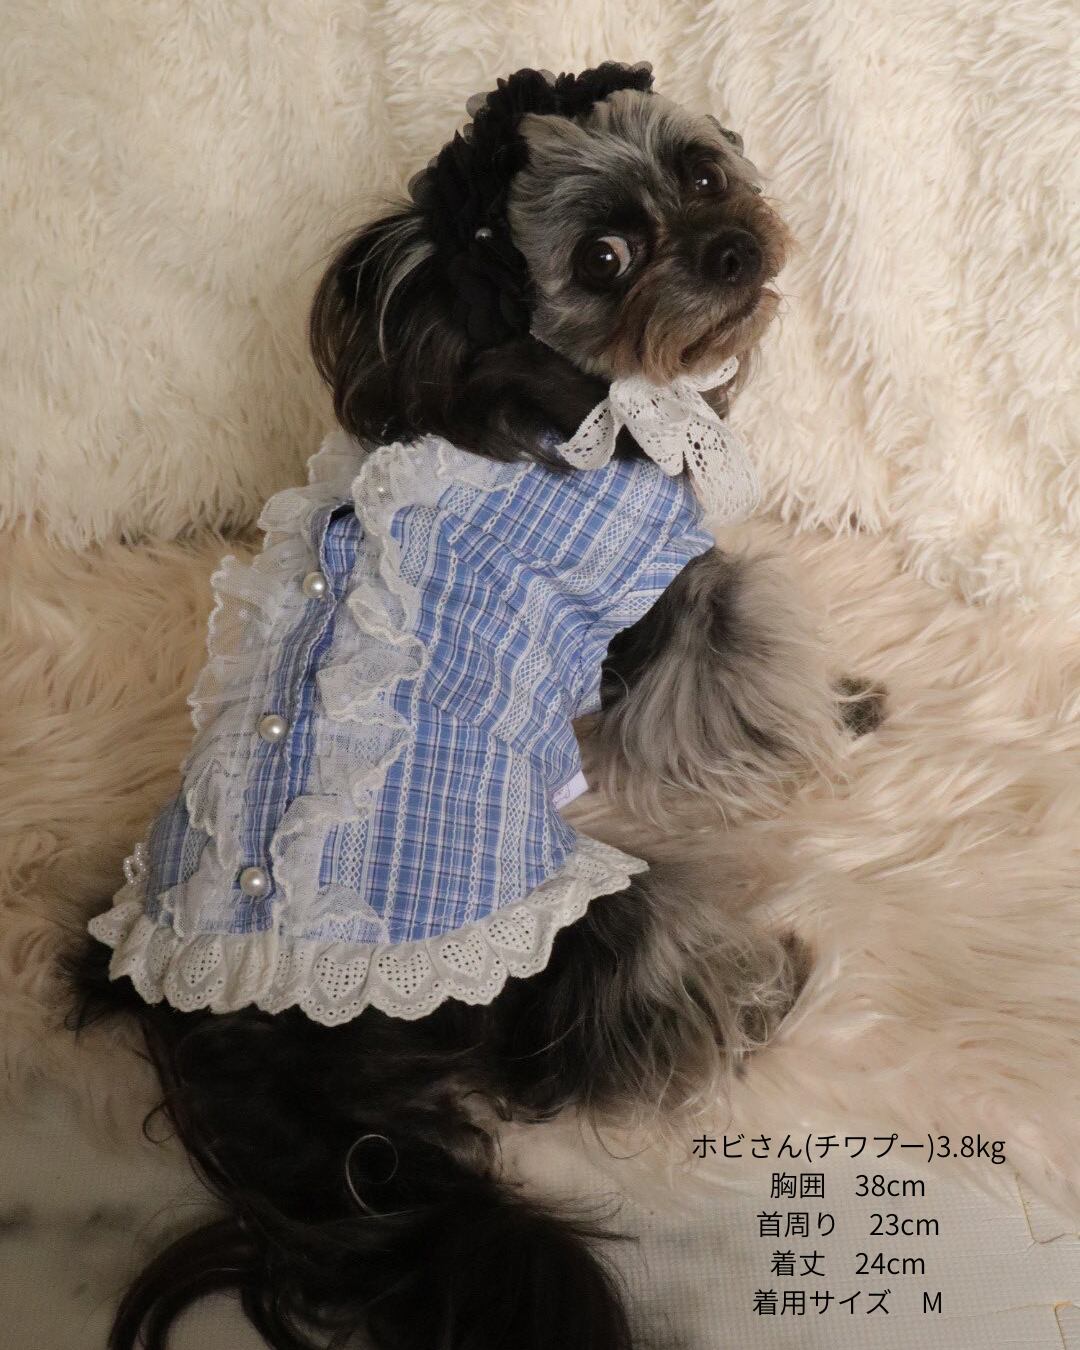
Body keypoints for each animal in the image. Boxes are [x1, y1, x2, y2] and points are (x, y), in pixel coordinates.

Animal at [69, 62, 883, 1350]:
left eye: (701, 171)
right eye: (601, 258)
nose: (732, 247)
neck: (580, 388)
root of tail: (268, 1032)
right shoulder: (666, 600)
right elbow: (741, 671)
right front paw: (840, 718)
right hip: (565, 920)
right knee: (619, 1009)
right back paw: (770, 981)